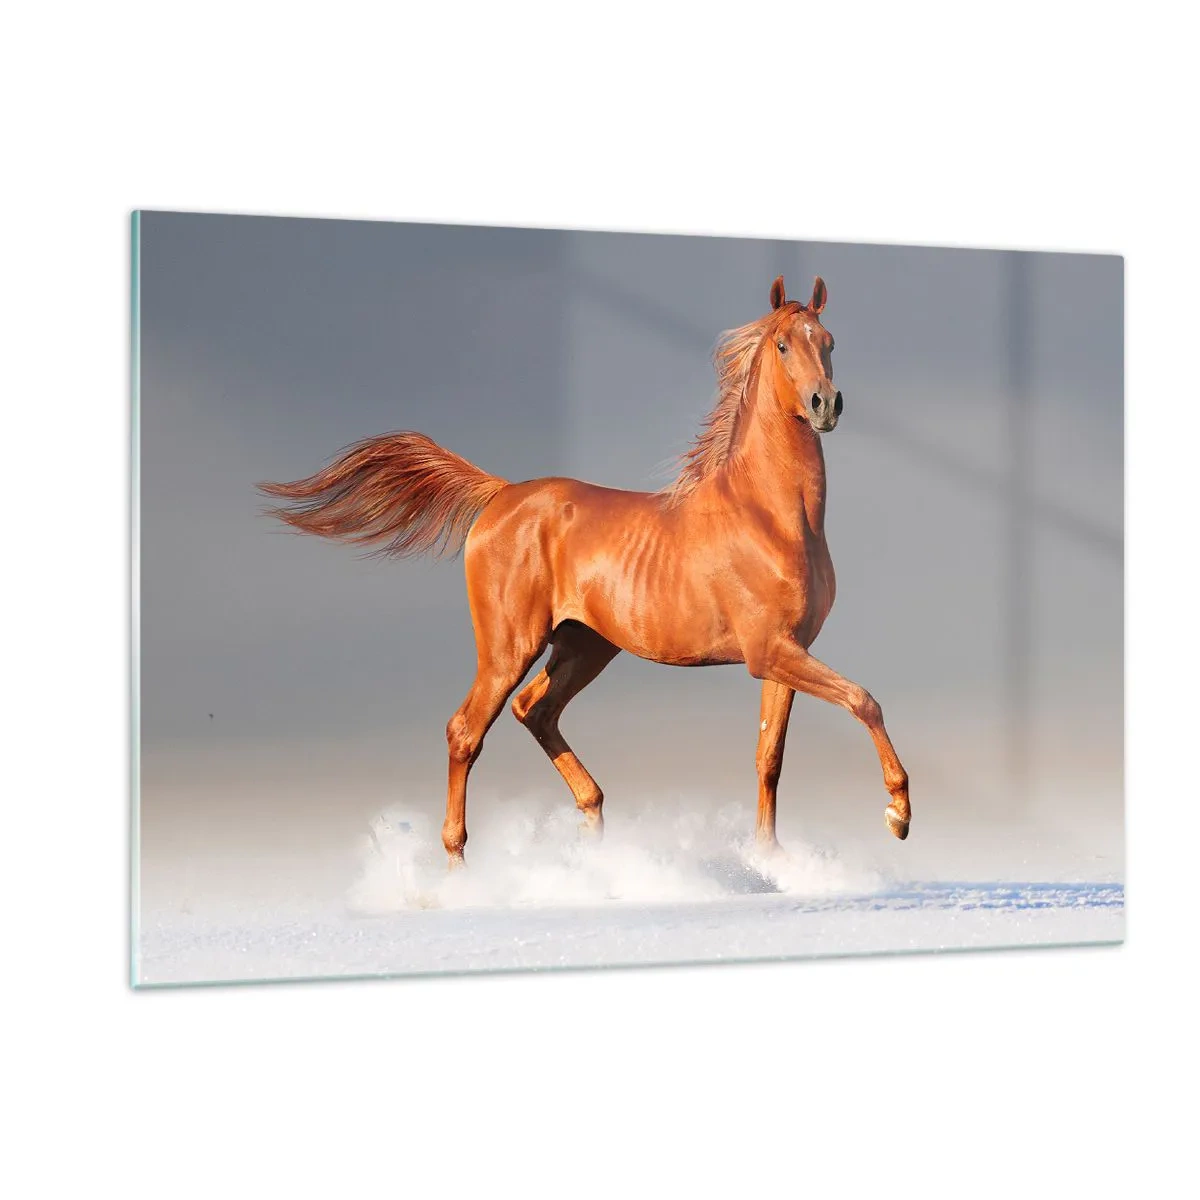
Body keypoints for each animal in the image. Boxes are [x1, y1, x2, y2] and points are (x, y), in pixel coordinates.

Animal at [259, 274, 911, 867]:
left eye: (829, 341)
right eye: (782, 345)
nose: (826, 404)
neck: (770, 515)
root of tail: (501, 496)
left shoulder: (787, 652)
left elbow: (769, 758)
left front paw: (770, 858)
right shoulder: (768, 651)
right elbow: (864, 700)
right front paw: (898, 813)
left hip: (584, 645)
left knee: (535, 710)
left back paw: (594, 830)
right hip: (510, 647)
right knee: (466, 731)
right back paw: (460, 867)